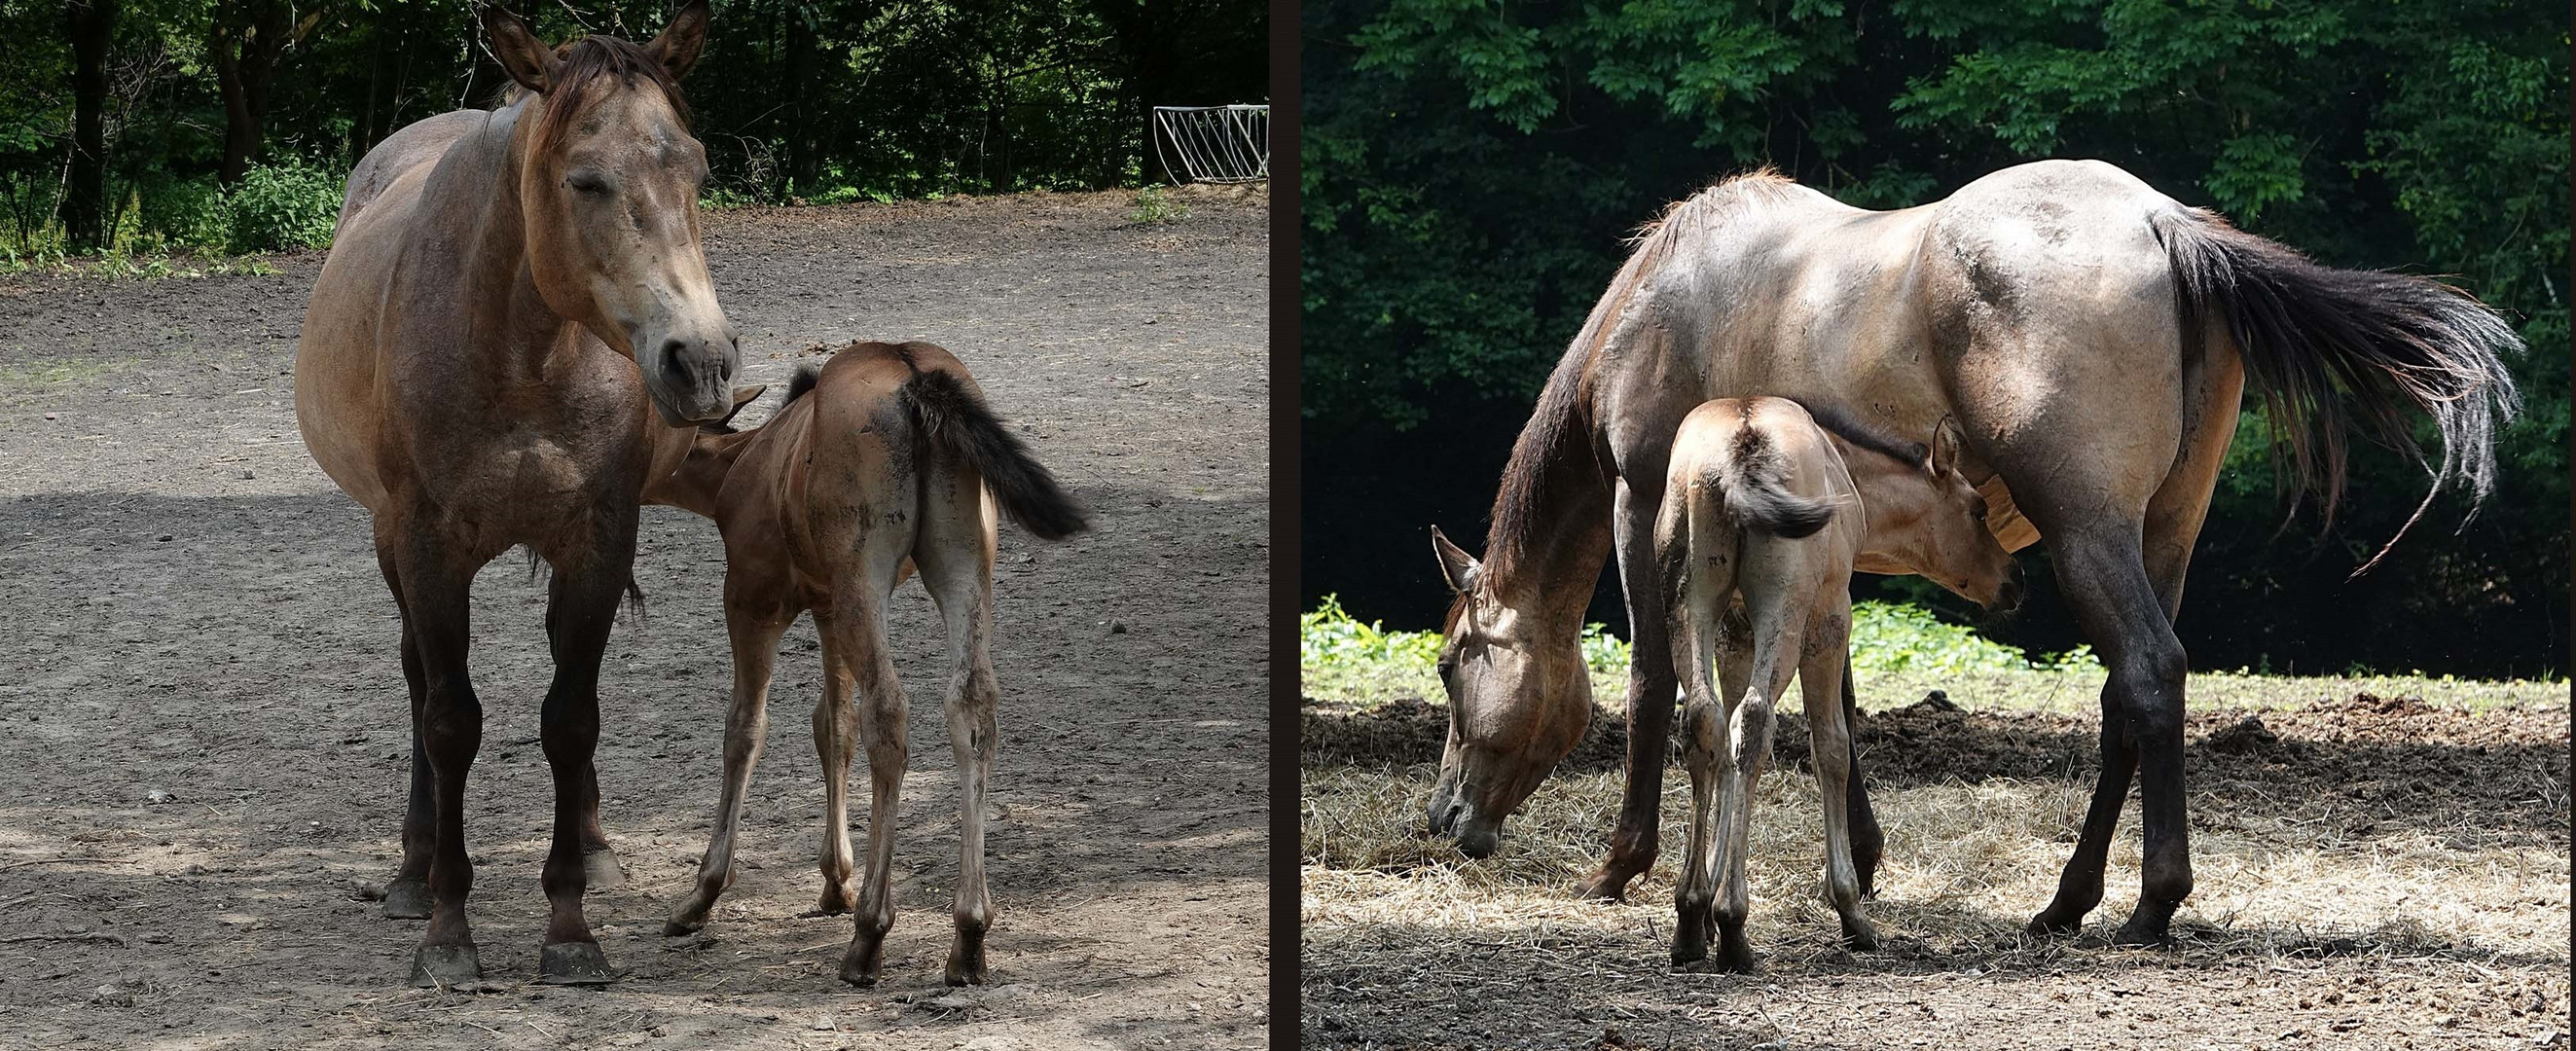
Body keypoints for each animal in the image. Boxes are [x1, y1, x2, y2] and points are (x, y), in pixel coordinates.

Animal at [295, 2, 737, 984]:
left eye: (696, 167)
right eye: (585, 180)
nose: (700, 363)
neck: (525, 354)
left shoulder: (599, 542)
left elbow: (571, 719)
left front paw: (570, 928)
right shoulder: (427, 547)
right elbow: (449, 718)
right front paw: (447, 930)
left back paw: (597, 848)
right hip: (389, 542)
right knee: (417, 681)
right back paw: (412, 871)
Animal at [654, 337, 1087, 984]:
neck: (748, 460)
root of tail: (915, 378)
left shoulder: (755, 599)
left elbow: (746, 729)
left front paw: (702, 893)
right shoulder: (830, 605)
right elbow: (834, 725)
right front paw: (836, 880)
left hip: (868, 573)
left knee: (890, 711)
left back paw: (870, 936)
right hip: (959, 564)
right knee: (971, 706)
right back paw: (968, 934)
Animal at [1658, 399, 2019, 973]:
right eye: (1979, 509)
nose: (2016, 580)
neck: (1848, 472)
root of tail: (1743, 442)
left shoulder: (1735, 631)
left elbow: (1728, 755)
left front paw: (1707, 899)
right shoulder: (1831, 616)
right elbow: (1831, 747)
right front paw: (1850, 909)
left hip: (1689, 601)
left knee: (1706, 720)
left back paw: (1692, 918)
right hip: (1789, 607)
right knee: (1756, 720)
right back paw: (1734, 924)